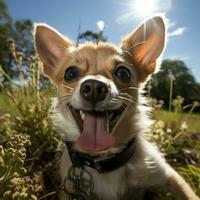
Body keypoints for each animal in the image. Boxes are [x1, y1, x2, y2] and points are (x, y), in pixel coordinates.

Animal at [34, 16, 198, 200]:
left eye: (123, 73)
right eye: (70, 73)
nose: (93, 87)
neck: (104, 160)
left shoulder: (169, 176)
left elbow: (189, 194)